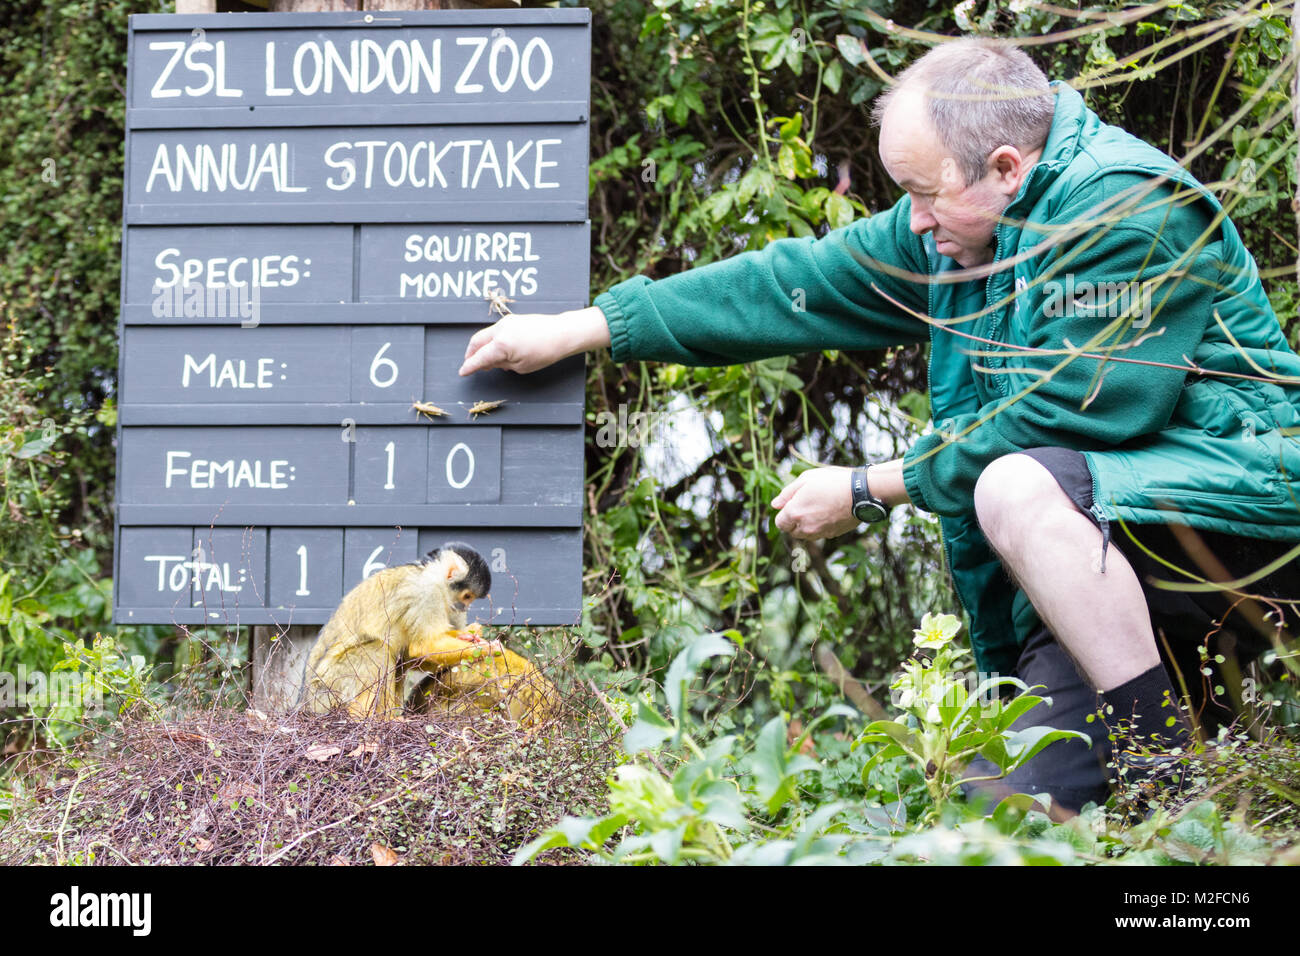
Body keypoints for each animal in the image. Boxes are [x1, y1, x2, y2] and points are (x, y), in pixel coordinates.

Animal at [300, 541, 496, 719]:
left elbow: (411, 656)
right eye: (467, 596)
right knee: (378, 650)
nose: (464, 608)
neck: (427, 574)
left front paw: (471, 633)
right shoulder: (426, 593)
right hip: (328, 689)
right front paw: (487, 648)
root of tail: (305, 703)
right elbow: (422, 646)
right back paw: (368, 718)